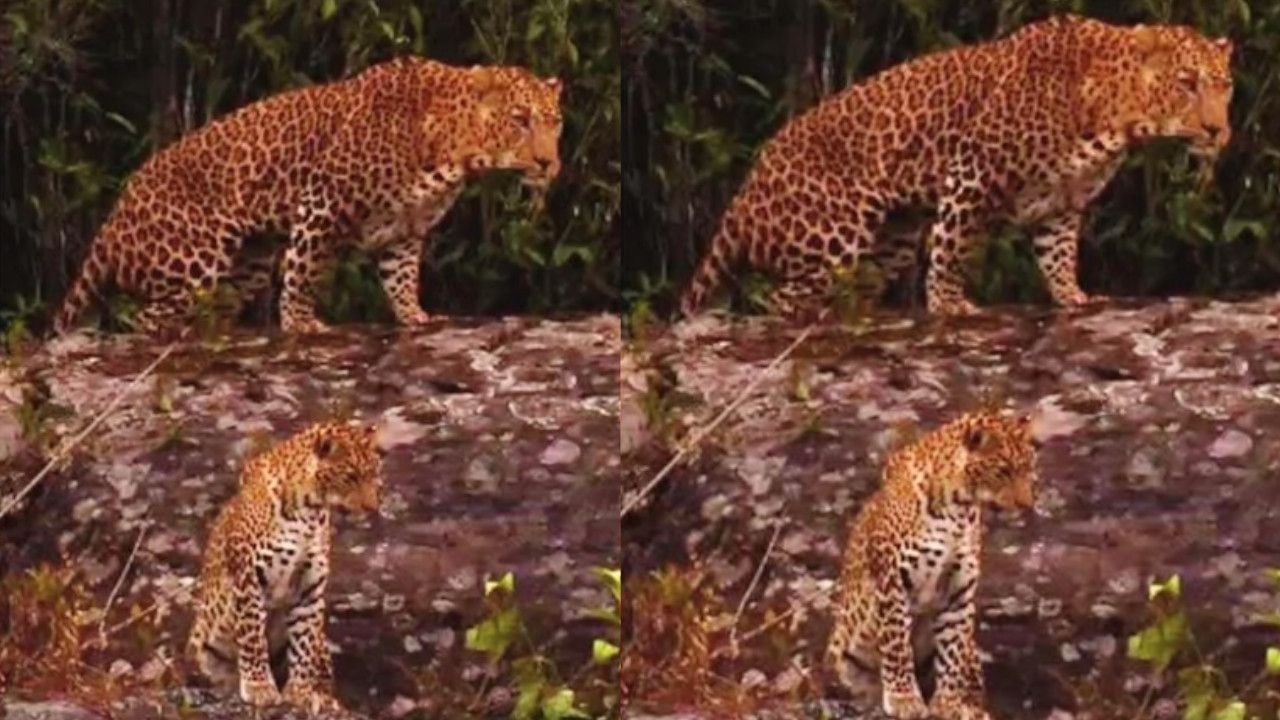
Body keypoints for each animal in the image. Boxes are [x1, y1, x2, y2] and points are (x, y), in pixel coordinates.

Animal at [52, 56, 562, 336]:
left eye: (555, 122)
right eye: (520, 120)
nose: (548, 163)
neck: (454, 151)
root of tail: (113, 220)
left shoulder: (405, 228)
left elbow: (401, 277)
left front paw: (414, 315)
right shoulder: (323, 201)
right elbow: (304, 269)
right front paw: (300, 322)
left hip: (248, 264)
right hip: (196, 258)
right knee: (144, 320)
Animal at [187, 421, 382, 712]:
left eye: (374, 474)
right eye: (351, 476)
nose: (373, 507)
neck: (309, 510)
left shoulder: (309, 586)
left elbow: (303, 643)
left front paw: (299, 692)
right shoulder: (249, 577)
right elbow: (253, 637)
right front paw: (259, 687)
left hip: (322, 644)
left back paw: (324, 697)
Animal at [679, 15, 1232, 318]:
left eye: (1224, 86)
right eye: (1186, 84)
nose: (1217, 131)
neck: (1116, 118)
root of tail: (745, 191)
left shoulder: (1062, 201)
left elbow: (1058, 254)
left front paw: (1071, 295)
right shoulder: (973, 171)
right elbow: (952, 245)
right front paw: (949, 302)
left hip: (892, 240)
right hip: (835, 233)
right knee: (778, 301)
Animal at [824, 410, 1038, 720]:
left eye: (1028, 468)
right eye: (1004, 470)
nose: (1027, 505)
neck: (958, 508)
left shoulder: (958, 591)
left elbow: (952, 653)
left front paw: (947, 704)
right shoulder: (893, 581)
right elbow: (897, 646)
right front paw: (904, 699)